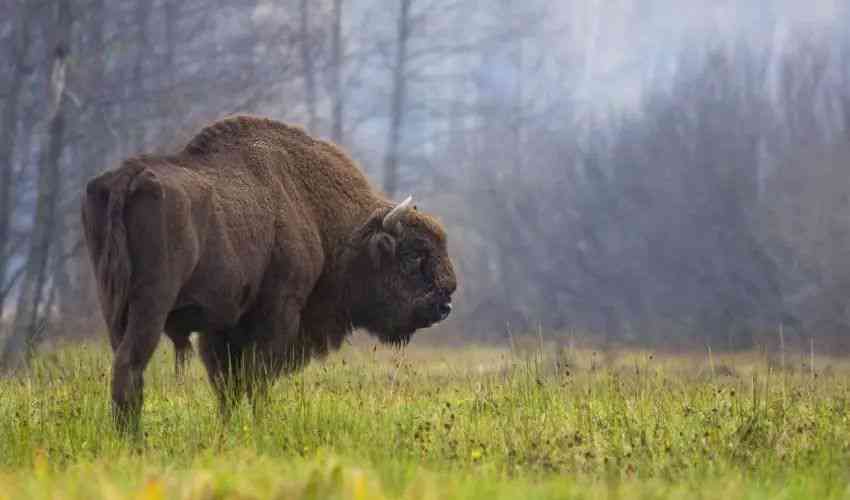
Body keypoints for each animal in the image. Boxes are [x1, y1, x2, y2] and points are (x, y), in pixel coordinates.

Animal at [83, 116, 458, 430]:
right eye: (414, 255)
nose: (445, 303)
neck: (318, 214)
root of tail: (127, 177)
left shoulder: (222, 327)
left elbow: (229, 385)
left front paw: (228, 429)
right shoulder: (278, 314)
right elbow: (256, 379)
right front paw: (260, 426)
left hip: (112, 305)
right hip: (151, 304)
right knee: (130, 365)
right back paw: (134, 440)